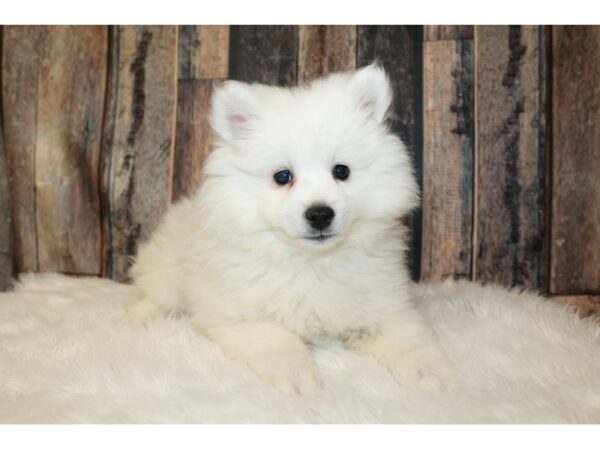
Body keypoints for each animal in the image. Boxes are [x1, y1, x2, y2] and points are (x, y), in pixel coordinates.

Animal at [129, 63, 452, 394]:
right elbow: (279, 342)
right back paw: (138, 318)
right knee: (153, 295)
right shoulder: (241, 316)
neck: (312, 262)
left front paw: (432, 373)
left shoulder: (385, 307)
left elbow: (409, 340)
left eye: (341, 171)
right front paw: (298, 376)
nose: (320, 214)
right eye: (282, 176)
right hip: (168, 270)